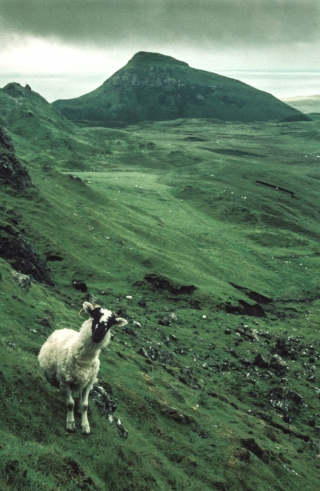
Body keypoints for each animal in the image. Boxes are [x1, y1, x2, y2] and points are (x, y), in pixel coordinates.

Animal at [38, 304, 127, 434]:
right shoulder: (65, 381)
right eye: (94, 315)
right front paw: (70, 424)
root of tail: (65, 329)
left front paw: (85, 426)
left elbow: (85, 405)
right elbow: (70, 403)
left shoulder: (88, 384)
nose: (98, 334)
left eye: (111, 323)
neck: (84, 359)